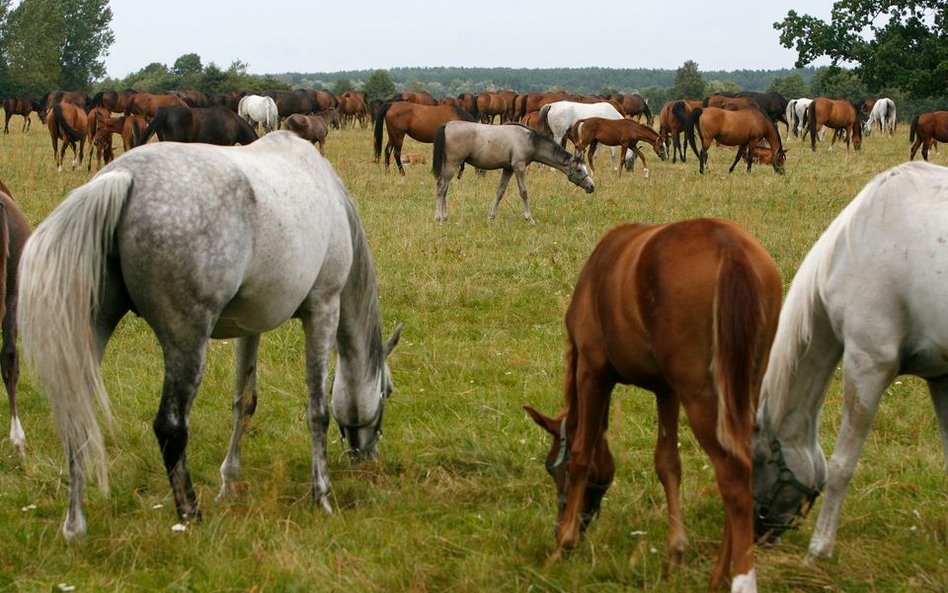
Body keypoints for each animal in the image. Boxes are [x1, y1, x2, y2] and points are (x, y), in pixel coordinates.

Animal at [17, 132, 404, 540]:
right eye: (388, 391)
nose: (367, 458)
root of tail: (123, 177)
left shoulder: (251, 329)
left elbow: (244, 401)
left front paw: (228, 483)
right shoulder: (323, 309)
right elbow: (317, 410)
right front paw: (322, 496)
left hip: (93, 334)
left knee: (76, 416)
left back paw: (75, 525)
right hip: (187, 344)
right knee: (170, 428)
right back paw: (190, 516)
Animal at [432, 121, 592, 223]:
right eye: (579, 169)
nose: (592, 186)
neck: (529, 140)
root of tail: (446, 126)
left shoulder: (508, 169)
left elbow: (500, 192)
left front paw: (491, 217)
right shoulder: (518, 167)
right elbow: (524, 192)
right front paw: (529, 218)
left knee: (445, 188)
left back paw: (444, 216)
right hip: (453, 164)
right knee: (441, 186)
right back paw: (439, 217)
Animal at [524, 217, 776, 592]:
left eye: (553, 468)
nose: (559, 526)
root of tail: (730, 247)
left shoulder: (592, 371)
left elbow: (583, 451)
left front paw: (563, 546)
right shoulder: (666, 391)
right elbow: (668, 464)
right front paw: (675, 555)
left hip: (702, 397)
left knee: (733, 477)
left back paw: (732, 577)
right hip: (743, 391)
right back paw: (720, 571)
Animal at [748, 162, 948, 560]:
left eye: (758, 459)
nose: (759, 533)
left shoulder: (867, 363)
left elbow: (842, 465)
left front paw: (820, 547)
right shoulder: (942, 377)